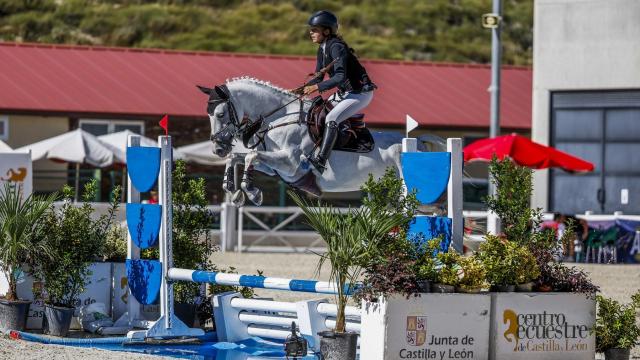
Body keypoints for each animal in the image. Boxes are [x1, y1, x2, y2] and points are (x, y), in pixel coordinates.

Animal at [199, 76, 436, 205]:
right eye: (209, 115)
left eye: (220, 114)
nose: (217, 148)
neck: (281, 117)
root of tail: (419, 144)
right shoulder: (276, 168)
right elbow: (237, 157)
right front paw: (232, 190)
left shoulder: (291, 164)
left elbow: (250, 154)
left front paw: (252, 193)